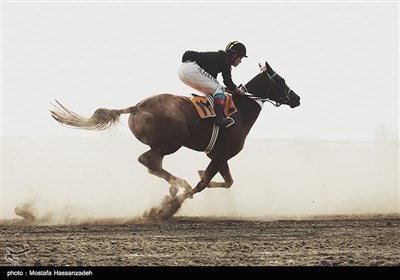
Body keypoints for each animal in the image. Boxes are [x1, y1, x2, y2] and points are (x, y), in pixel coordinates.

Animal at [50, 60, 300, 219]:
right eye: (281, 80)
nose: (297, 98)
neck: (240, 111)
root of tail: (137, 106)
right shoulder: (220, 156)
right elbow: (203, 184)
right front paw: (167, 208)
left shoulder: (220, 156)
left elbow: (225, 182)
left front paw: (180, 191)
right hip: (170, 143)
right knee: (147, 160)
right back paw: (178, 186)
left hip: (163, 145)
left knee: (151, 164)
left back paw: (174, 185)